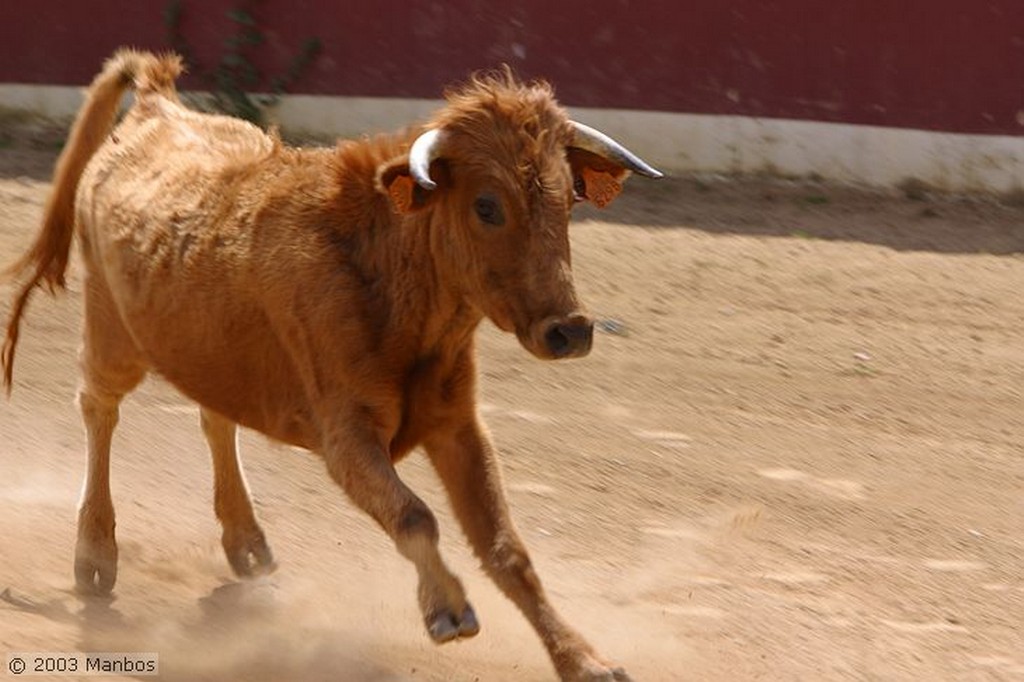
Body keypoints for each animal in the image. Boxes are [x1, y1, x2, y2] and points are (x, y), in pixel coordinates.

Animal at [2, 49, 663, 679]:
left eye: (569, 197)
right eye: (486, 205)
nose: (569, 330)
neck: (390, 276)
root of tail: (156, 108)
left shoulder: (456, 425)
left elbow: (506, 546)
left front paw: (585, 661)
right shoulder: (346, 438)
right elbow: (415, 516)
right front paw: (449, 610)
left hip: (215, 356)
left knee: (215, 420)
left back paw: (246, 543)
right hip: (111, 330)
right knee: (100, 409)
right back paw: (94, 555)